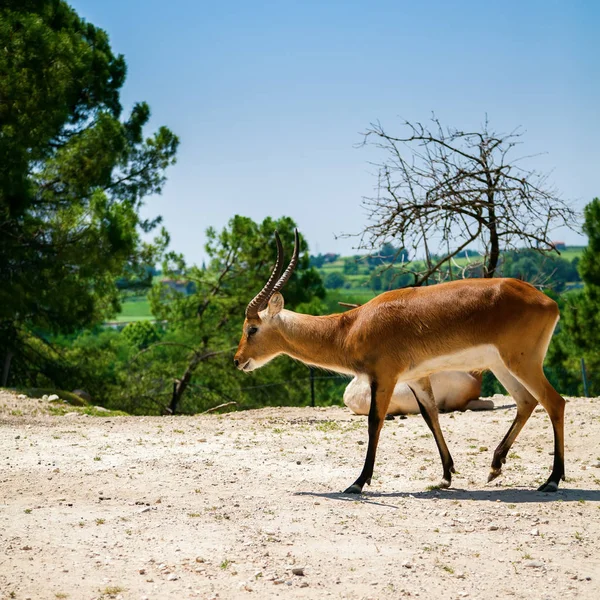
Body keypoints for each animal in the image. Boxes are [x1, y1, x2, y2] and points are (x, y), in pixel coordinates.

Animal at [234, 230, 568, 492]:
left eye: (252, 328)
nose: (237, 360)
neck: (350, 327)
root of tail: (548, 301)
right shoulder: (415, 378)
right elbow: (431, 417)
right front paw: (446, 475)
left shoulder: (385, 376)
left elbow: (374, 422)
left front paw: (358, 482)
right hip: (502, 366)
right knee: (527, 402)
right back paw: (495, 466)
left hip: (521, 363)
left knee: (555, 402)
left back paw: (551, 480)